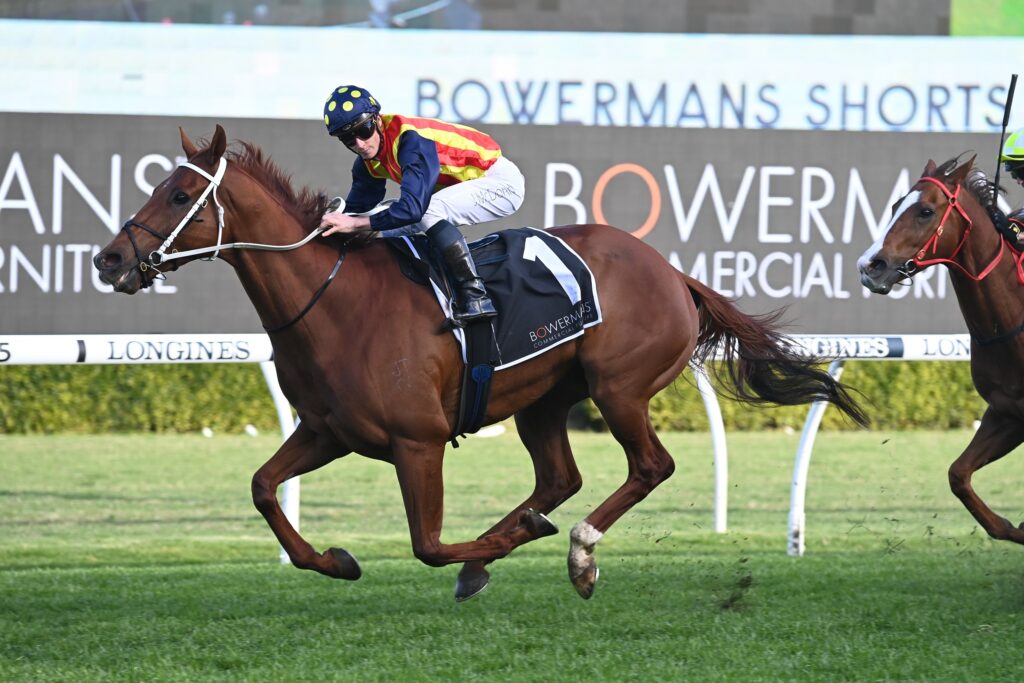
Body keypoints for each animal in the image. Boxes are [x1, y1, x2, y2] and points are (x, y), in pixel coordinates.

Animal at [94, 125, 867, 601]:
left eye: (178, 194)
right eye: (156, 186)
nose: (109, 259)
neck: (335, 302)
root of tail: (673, 272)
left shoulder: (418, 441)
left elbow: (429, 544)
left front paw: (496, 547)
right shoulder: (326, 430)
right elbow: (261, 487)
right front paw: (336, 561)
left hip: (619, 387)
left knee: (649, 466)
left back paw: (577, 550)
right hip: (544, 398)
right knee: (560, 476)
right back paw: (520, 541)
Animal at [858, 155, 1024, 545]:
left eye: (926, 211)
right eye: (894, 206)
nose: (870, 266)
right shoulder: (1006, 411)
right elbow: (957, 475)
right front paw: (1014, 528)